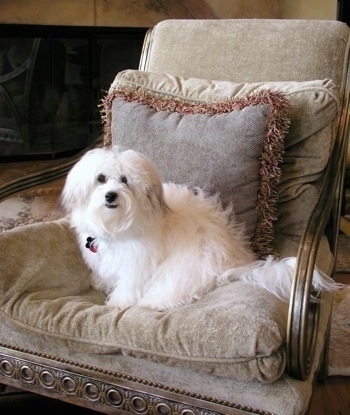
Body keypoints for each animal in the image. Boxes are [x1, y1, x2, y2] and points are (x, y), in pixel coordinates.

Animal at [61, 146, 340, 308]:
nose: (111, 195)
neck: (116, 225)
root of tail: (233, 263)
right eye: (101, 179)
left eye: (125, 180)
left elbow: (129, 285)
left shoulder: (138, 262)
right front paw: (102, 282)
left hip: (185, 268)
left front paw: (118, 302)